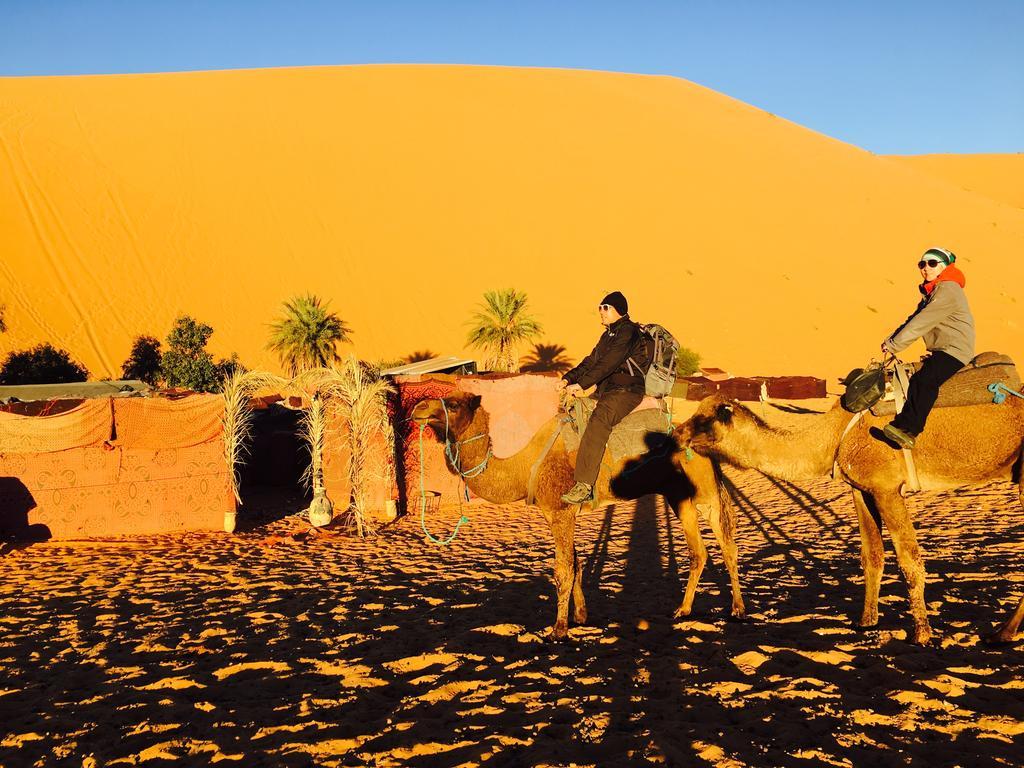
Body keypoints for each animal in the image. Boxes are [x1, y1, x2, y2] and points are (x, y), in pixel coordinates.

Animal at [409, 393, 745, 638]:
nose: (418, 407)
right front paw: (581, 616)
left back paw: (737, 610)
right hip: (679, 495)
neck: (524, 467)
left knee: (726, 541)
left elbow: (563, 570)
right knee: (700, 551)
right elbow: (576, 563)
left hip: (702, 488)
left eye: (453, 404)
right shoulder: (561, 514)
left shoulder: (560, 511)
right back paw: (683, 611)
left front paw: (558, 629)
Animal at [671, 393, 1024, 647]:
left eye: (704, 419)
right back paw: (1002, 632)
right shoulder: (862, 489)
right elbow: (872, 555)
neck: (833, 437)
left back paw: (1002, 632)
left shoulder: (887, 487)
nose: (676, 432)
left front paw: (922, 634)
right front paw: (866, 621)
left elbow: (908, 559)